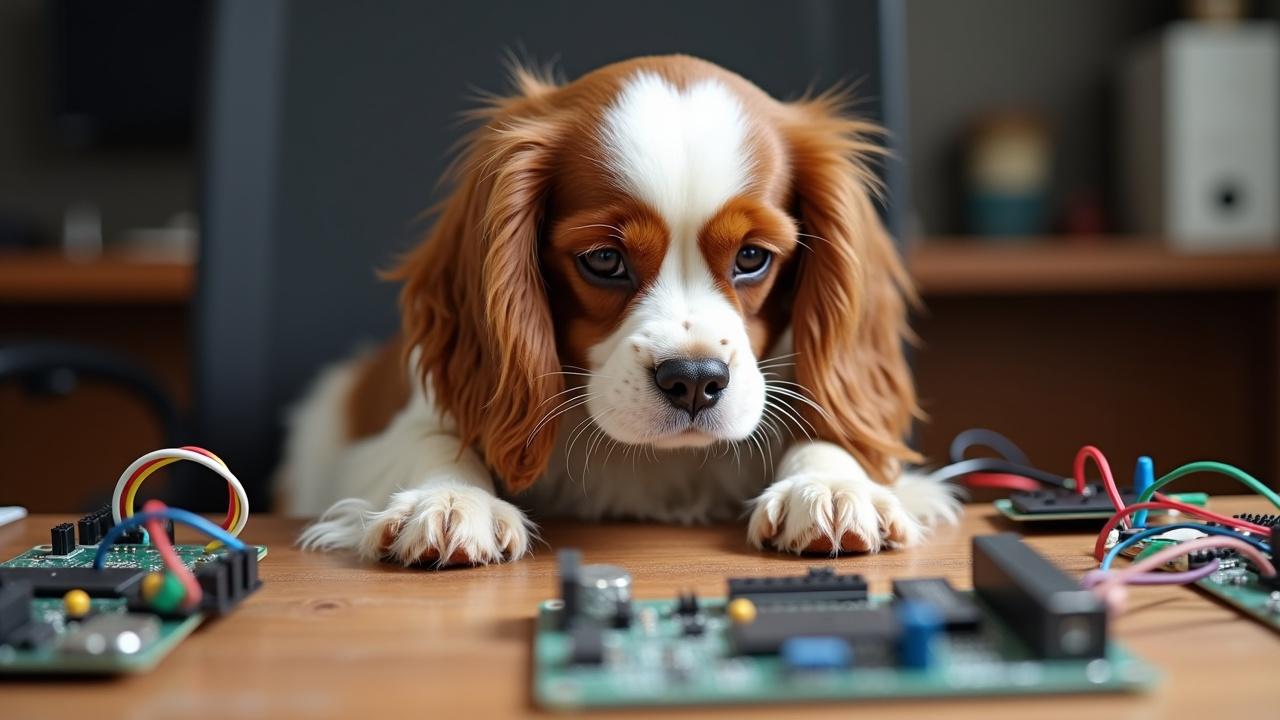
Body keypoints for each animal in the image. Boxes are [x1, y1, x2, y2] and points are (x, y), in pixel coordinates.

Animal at [285, 54, 957, 561]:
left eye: (752, 257)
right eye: (605, 261)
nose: (694, 380)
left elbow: (832, 431)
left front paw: (831, 485)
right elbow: (435, 437)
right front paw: (448, 500)